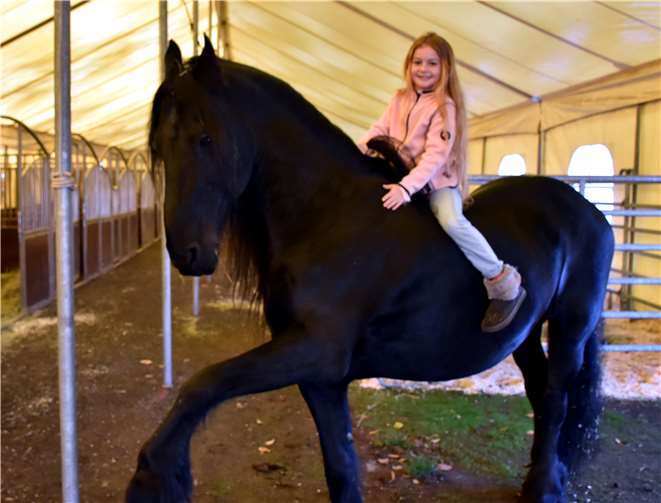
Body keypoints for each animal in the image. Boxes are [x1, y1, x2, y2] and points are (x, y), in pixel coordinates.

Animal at [126, 36, 614, 503]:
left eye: (205, 138)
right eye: (159, 146)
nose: (187, 253)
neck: (327, 218)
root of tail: (589, 210)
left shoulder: (315, 351)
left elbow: (205, 382)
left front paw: (153, 477)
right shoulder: (321, 377)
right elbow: (340, 467)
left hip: (570, 328)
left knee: (556, 398)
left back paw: (545, 487)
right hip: (525, 335)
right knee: (539, 391)